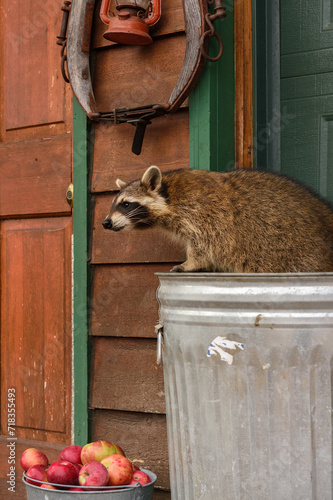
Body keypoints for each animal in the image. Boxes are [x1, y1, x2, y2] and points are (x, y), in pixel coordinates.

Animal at [100, 166, 332, 272]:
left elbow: (205, 248)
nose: (106, 223)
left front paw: (190, 263)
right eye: (114, 203)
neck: (171, 195)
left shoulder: (206, 216)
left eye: (126, 204)